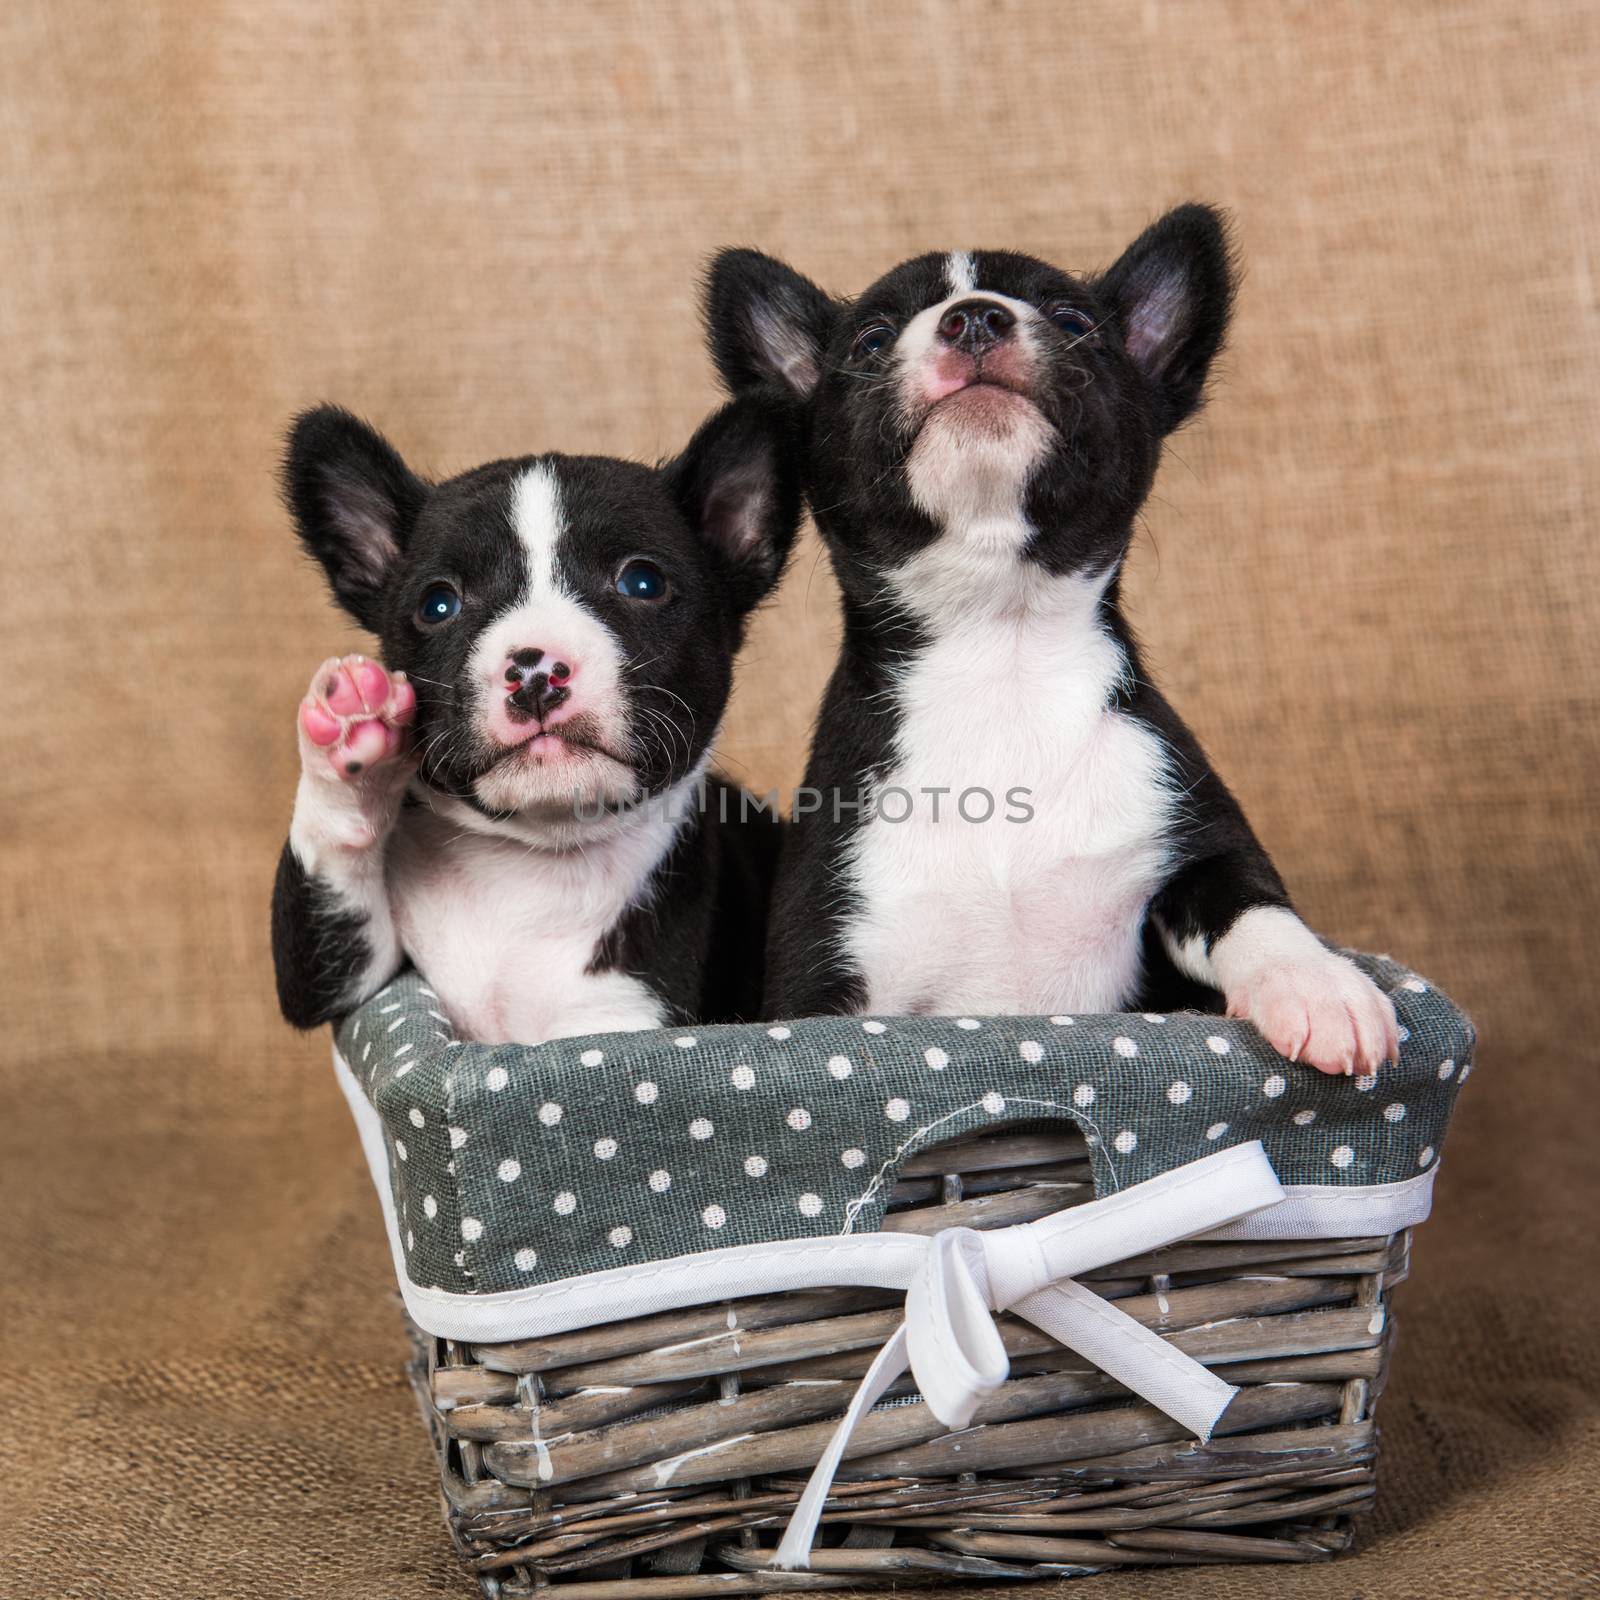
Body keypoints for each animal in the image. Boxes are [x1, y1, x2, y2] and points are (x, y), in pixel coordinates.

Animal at [707, 203, 1395, 1075]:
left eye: (1073, 323)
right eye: (870, 340)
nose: (974, 318)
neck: (1001, 650)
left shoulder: (1193, 833)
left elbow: (1253, 904)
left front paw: (1319, 984)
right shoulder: (825, 949)